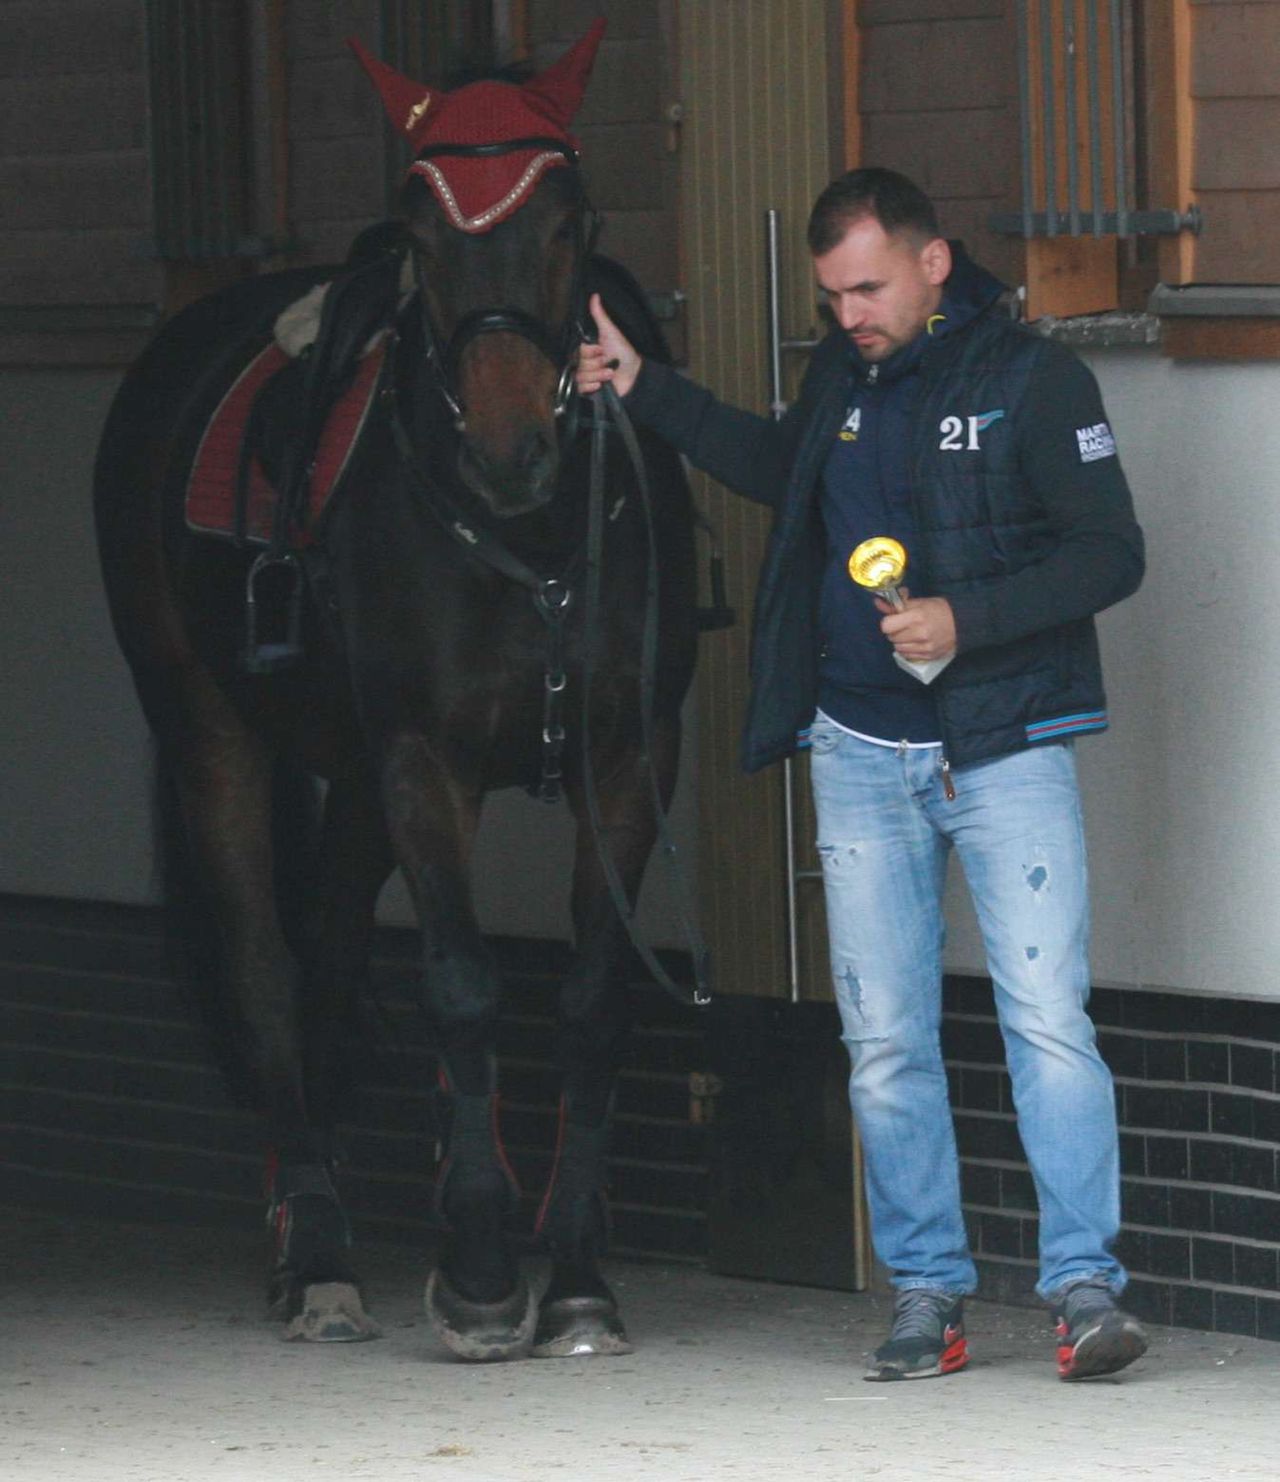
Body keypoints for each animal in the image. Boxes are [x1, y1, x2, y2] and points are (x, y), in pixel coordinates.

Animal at [96, 28, 705, 1357]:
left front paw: (573, 1274)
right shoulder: (425, 759)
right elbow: (464, 987)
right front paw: (477, 1271)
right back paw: (318, 1256)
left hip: (355, 780)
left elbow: (592, 1001)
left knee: (327, 955)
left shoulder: (627, 762)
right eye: (420, 236)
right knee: (268, 970)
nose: (511, 448)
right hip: (214, 733)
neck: (528, 540)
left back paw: (308, 1221)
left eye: (568, 221)